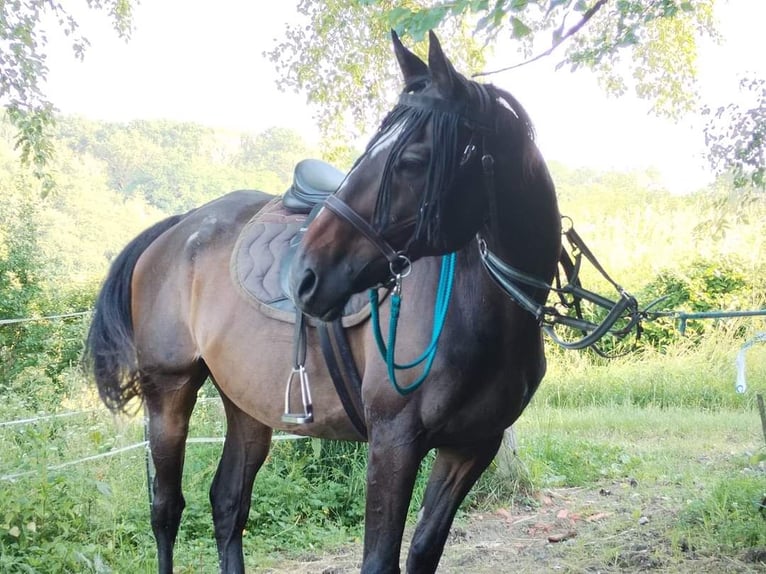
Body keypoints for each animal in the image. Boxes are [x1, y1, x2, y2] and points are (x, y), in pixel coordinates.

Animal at [85, 32, 564, 574]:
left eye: (413, 160)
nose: (304, 275)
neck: (478, 311)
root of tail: (179, 226)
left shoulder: (471, 447)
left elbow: (423, 552)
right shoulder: (394, 443)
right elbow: (379, 560)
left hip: (246, 404)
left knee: (227, 503)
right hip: (168, 393)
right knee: (166, 510)